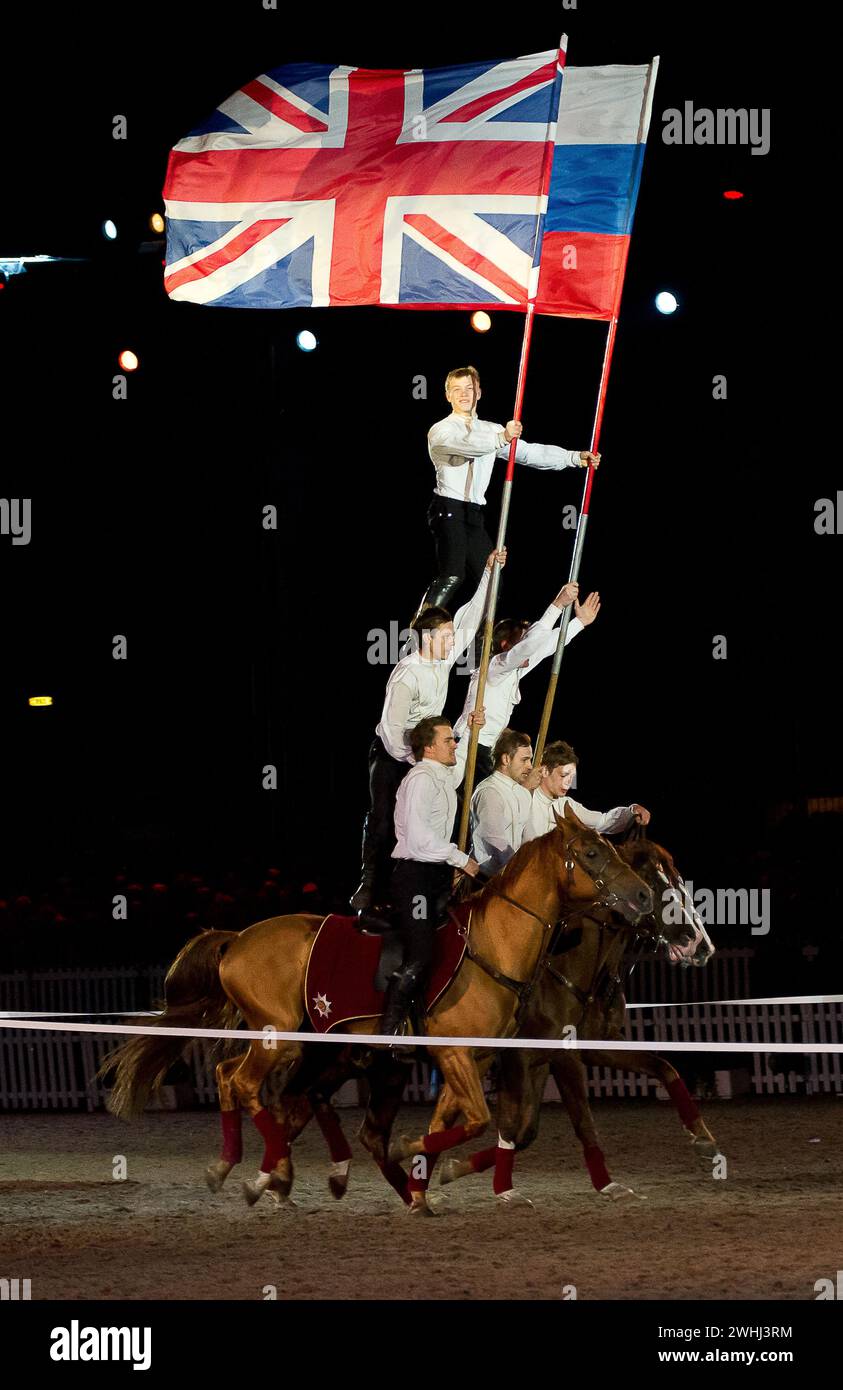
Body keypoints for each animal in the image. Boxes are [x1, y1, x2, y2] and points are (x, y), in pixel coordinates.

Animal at [100, 811, 653, 1212]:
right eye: (590, 852)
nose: (644, 895)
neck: (490, 946)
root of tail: (236, 939)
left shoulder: (470, 1061)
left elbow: (454, 1123)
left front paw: (422, 1185)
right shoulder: (458, 1055)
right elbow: (476, 1121)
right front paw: (413, 1157)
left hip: (296, 1044)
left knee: (234, 1077)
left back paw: (244, 1169)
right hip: (282, 1038)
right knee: (243, 1084)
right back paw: (262, 1176)